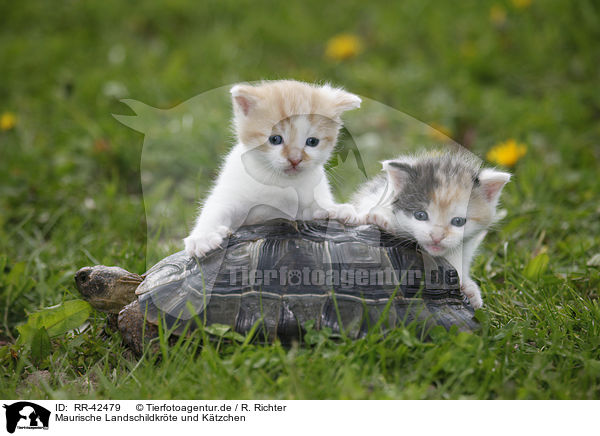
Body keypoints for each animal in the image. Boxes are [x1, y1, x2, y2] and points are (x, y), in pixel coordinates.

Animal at [183, 80, 360, 258]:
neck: (279, 182)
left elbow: (313, 207)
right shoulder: (232, 195)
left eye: (312, 142)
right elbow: (215, 209)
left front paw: (334, 209)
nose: (295, 160)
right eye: (275, 139)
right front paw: (202, 237)